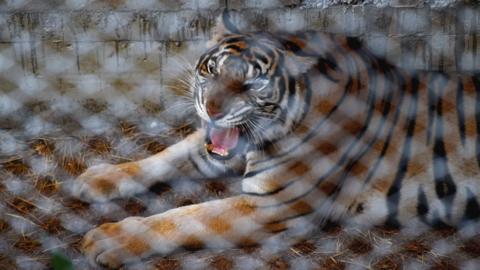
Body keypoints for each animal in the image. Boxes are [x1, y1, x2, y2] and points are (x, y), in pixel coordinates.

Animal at [74, 11, 480, 268]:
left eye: (251, 84)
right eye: (211, 69)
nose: (212, 110)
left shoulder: (274, 204)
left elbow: (188, 217)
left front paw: (111, 239)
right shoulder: (213, 151)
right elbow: (164, 156)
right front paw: (99, 178)